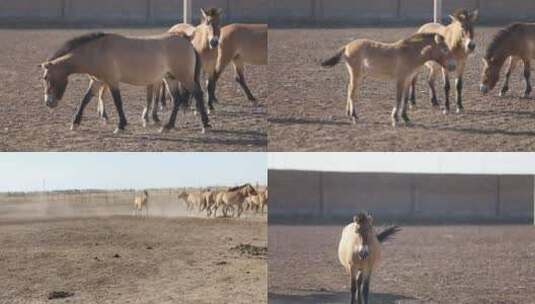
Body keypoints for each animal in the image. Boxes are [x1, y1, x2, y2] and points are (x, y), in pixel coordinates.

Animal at [39, 31, 211, 134]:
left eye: (46, 77)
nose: (48, 103)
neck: (97, 50)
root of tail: (188, 43)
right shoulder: (97, 82)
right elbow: (85, 100)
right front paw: (75, 123)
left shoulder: (112, 81)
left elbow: (118, 103)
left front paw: (120, 126)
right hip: (171, 79)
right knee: (177, 100)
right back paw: (168, 126)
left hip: (185, 78)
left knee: (198, 94)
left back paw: (205, 125)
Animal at [320, 33, 458, 127]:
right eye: (445, 49)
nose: (453, 66)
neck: (410, 53)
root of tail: (347, 46)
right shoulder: (400, 80)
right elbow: (398, 98)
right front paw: (395, 119)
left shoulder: (408, 80)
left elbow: (405, 99)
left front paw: (406, 118)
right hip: (356, 74)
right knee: (352, 93)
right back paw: (354, 116)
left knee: (349, 90)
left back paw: (349, 114)